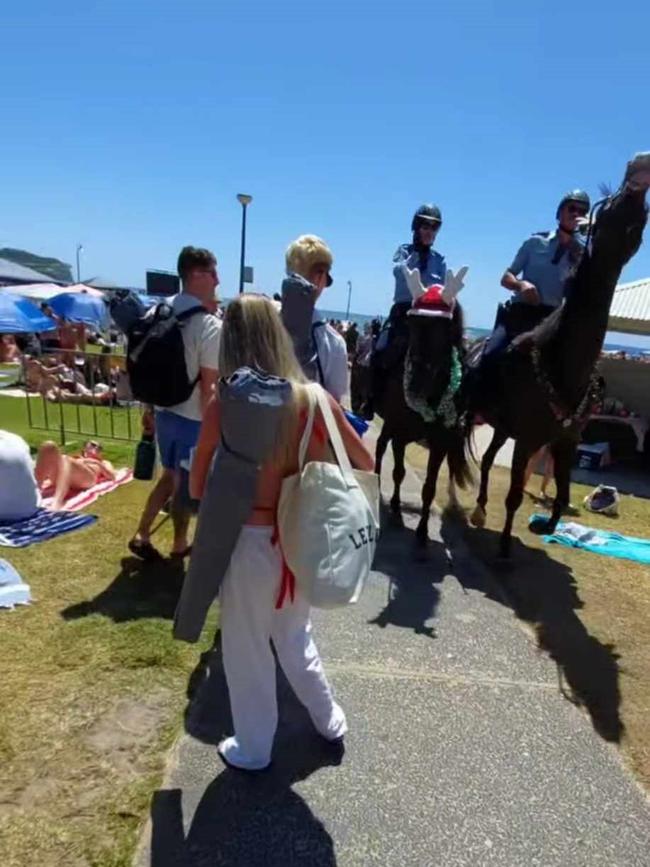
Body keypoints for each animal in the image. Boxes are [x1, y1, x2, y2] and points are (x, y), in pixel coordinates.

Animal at [464, 153, 644, 560]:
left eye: (642, 216)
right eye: (607, 205)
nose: (638, 177)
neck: (561, 365)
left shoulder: (566, 442)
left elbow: (561, 494)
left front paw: (546, 525)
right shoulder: (528, 441)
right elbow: (514, 496)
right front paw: (503, 551)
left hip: (502, 428)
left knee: (487, 459)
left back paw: (481, 509)